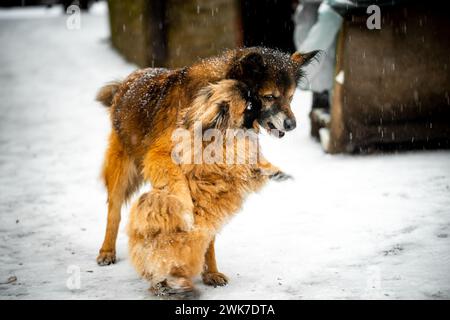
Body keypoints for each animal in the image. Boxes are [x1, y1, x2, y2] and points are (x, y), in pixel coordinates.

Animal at [96, 46, 318, 294]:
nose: (292, 125)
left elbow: (209, 232)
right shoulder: (162, 156)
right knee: (114, 211)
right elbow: (180, 191)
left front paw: (210, 271)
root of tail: (131, 78)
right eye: (269, 96)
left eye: (291, 97)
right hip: (122, 170)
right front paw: (184, 212)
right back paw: (108, 251)